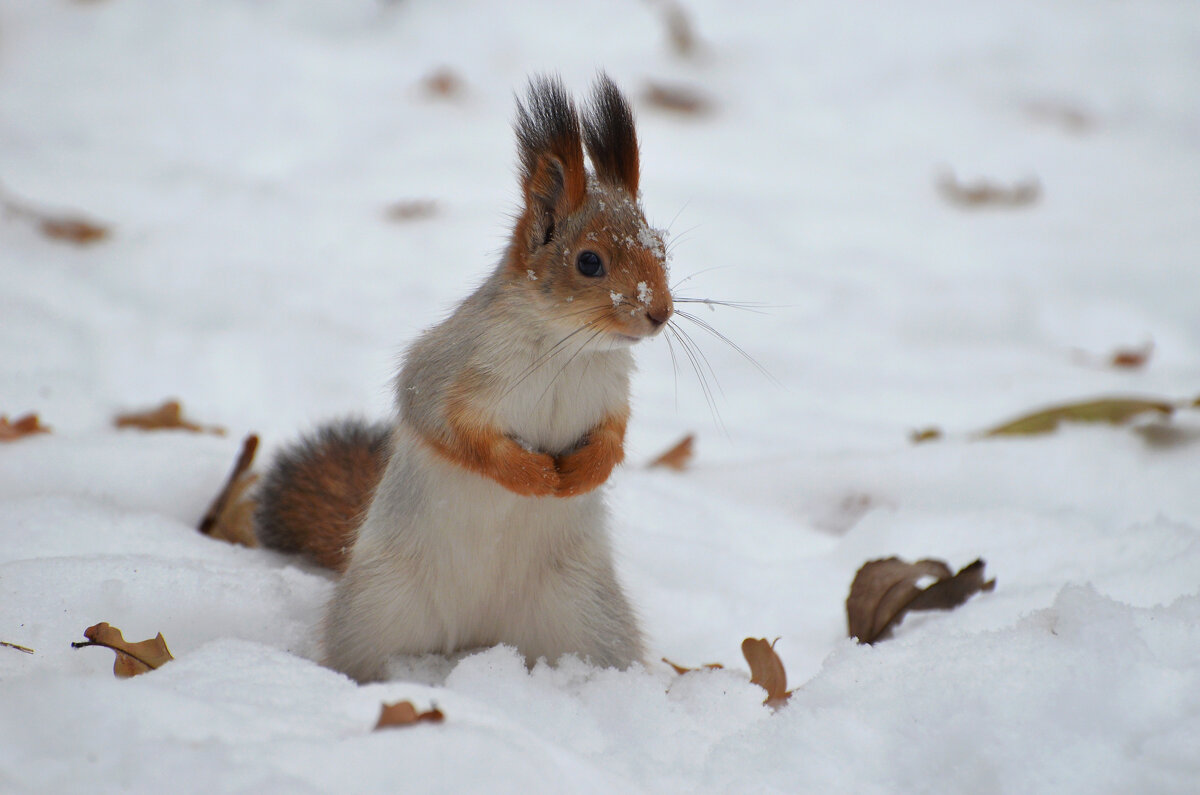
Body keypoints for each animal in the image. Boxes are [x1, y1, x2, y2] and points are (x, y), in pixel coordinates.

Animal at [253, 74, 676, 686]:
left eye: (663, 248)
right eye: (589, 262)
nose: (660, 313)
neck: (567, 349)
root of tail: (479, 636)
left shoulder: (610, 395)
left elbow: (614, 437)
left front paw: (584, 473)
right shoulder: (450, 368)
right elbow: (449, 428)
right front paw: (532, 476)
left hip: (587, 613)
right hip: (377, 605)